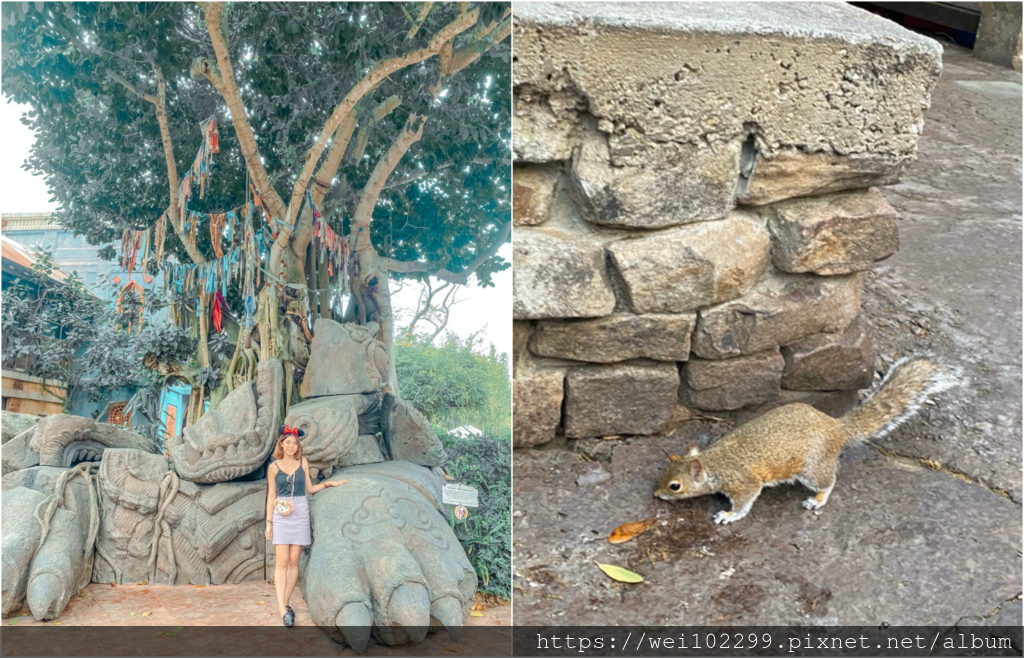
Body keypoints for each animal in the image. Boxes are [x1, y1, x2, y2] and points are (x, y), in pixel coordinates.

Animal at [655, 356, 958, 523]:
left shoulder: (744, 483)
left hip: (812, 468)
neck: (713, 461)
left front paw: (727, 516)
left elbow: (744, 502)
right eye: (664, 471)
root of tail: (836, 428)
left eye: (675, 486)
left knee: (828, 481)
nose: (656, 494)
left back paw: (818, 500)